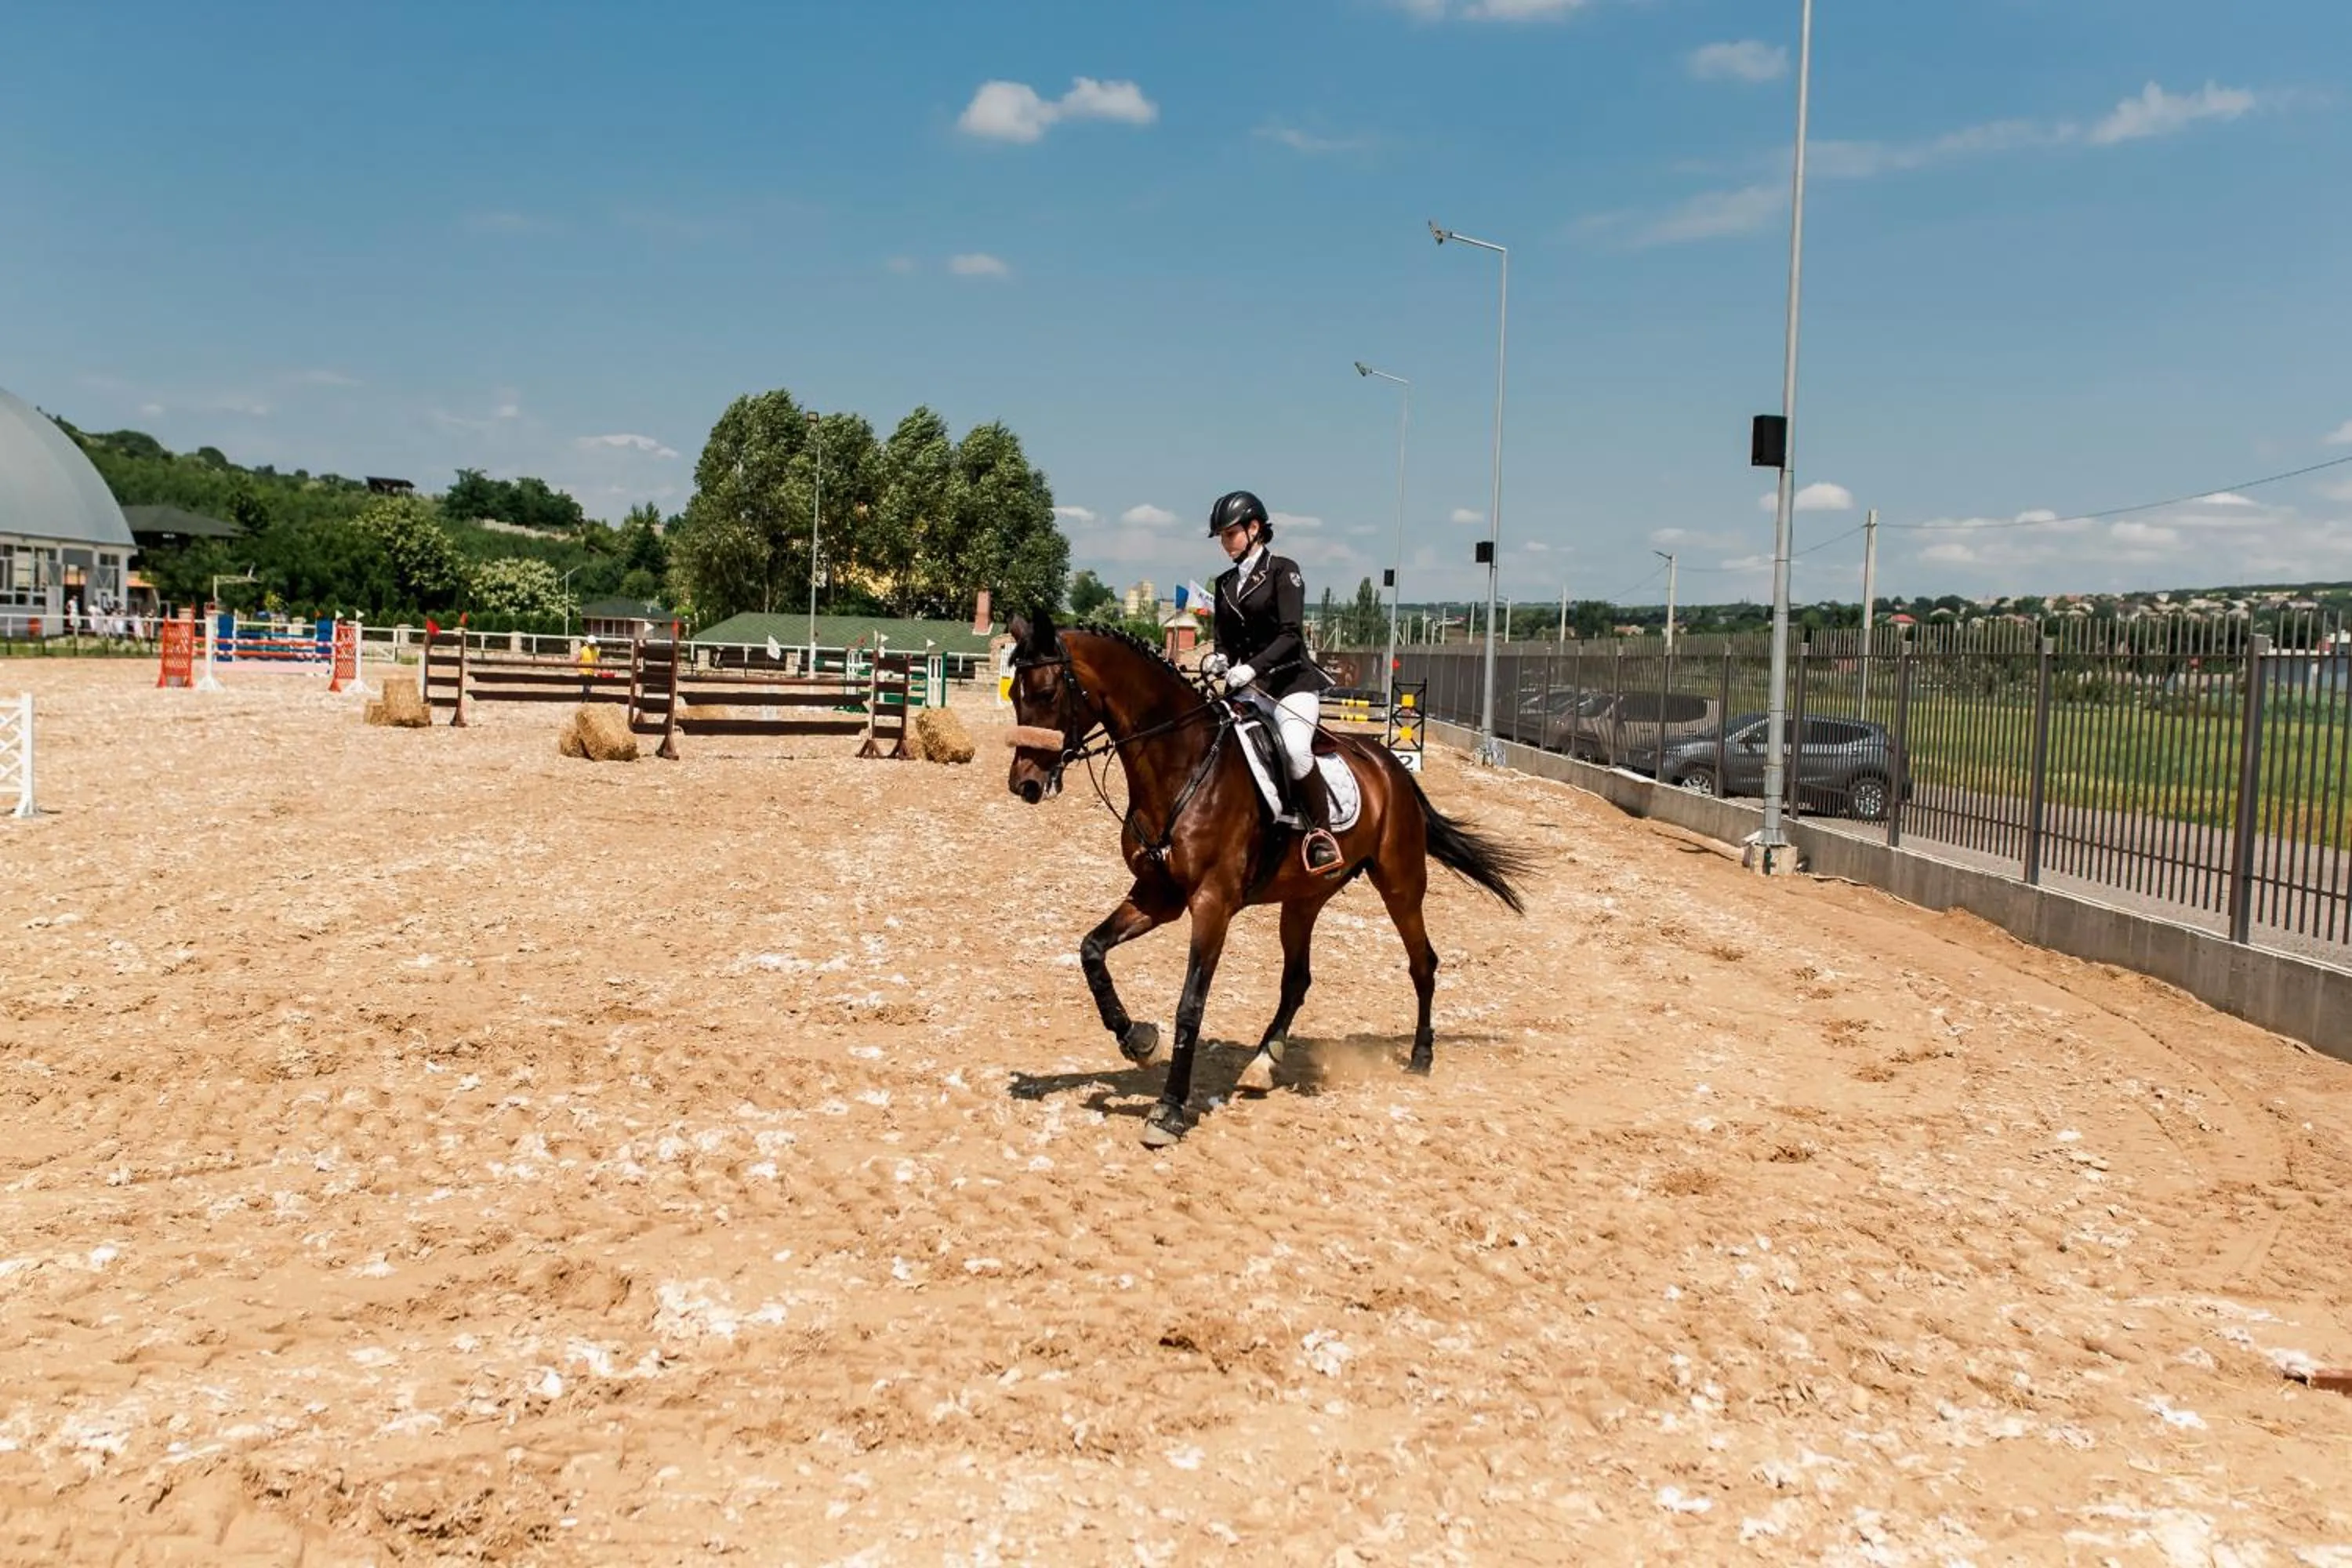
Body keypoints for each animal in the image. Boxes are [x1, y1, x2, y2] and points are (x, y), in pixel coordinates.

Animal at [1001, 609, 1532, 1147]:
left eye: (1047, 693)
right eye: (1015, 694)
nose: (1024, 784)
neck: (1181, 763)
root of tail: (1392, 768)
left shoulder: (1212, 904)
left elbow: (1190, 1004)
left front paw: (1168, 1111)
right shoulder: (1158, 896)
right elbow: (1092, 951)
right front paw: (1138, 1040)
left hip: (1400, 884)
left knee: (1422, 963)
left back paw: (1421, 1057)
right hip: (1304, 898)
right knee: (1297, 979)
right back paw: (1262, 1063)